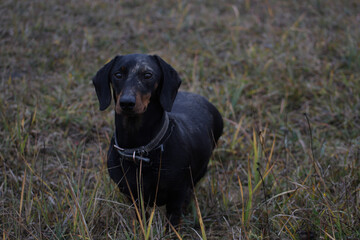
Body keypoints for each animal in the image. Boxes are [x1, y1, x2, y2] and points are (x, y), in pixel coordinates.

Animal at [93, 53, 222, 226]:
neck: (140, 150)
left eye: (148, 75)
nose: (126, 103)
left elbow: (173, 222)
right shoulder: (133, 196)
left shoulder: (176, 195)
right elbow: (142, 218)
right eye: (118, 74)